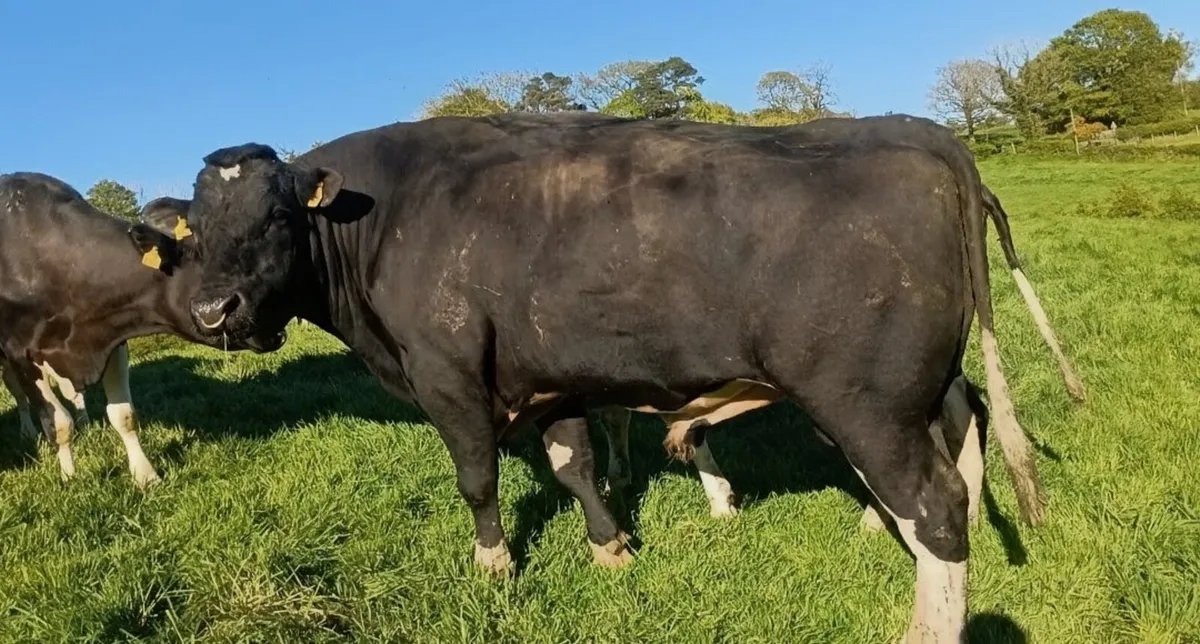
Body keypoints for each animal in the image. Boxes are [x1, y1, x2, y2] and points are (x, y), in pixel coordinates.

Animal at [0, 173, 284, 487]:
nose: (276, 326)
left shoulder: (112, 338)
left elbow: (124, 415)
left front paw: (145, 475)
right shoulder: (21, 353)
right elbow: (58, 423)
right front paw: (69, 477)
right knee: (19, 395)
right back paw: (27, 431)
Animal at [174, 111, 1045, 643]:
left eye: (276, 216)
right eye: (195, 230)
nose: (216, 310)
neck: (388, 219)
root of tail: (913, 131)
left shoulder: (447, 377)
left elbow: (476, 479)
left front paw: (493, 565)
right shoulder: (551, 377)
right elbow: (574, 465)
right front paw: (612, 546)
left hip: (865, 401)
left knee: (937, 507)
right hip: (919, 388)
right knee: (958, 441)